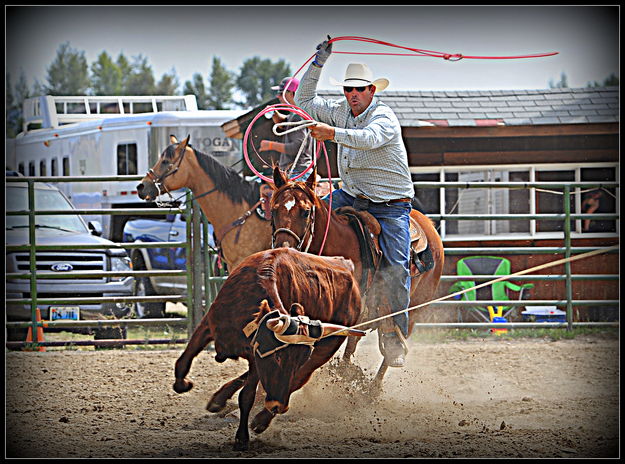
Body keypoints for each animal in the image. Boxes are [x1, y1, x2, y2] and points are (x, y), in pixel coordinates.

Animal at [270, 167, 444, 384]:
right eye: (274, 210)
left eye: (306, 211)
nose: (284, 247)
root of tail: (429, 225)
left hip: (415, 308)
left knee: (391, 346)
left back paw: (373, 387)